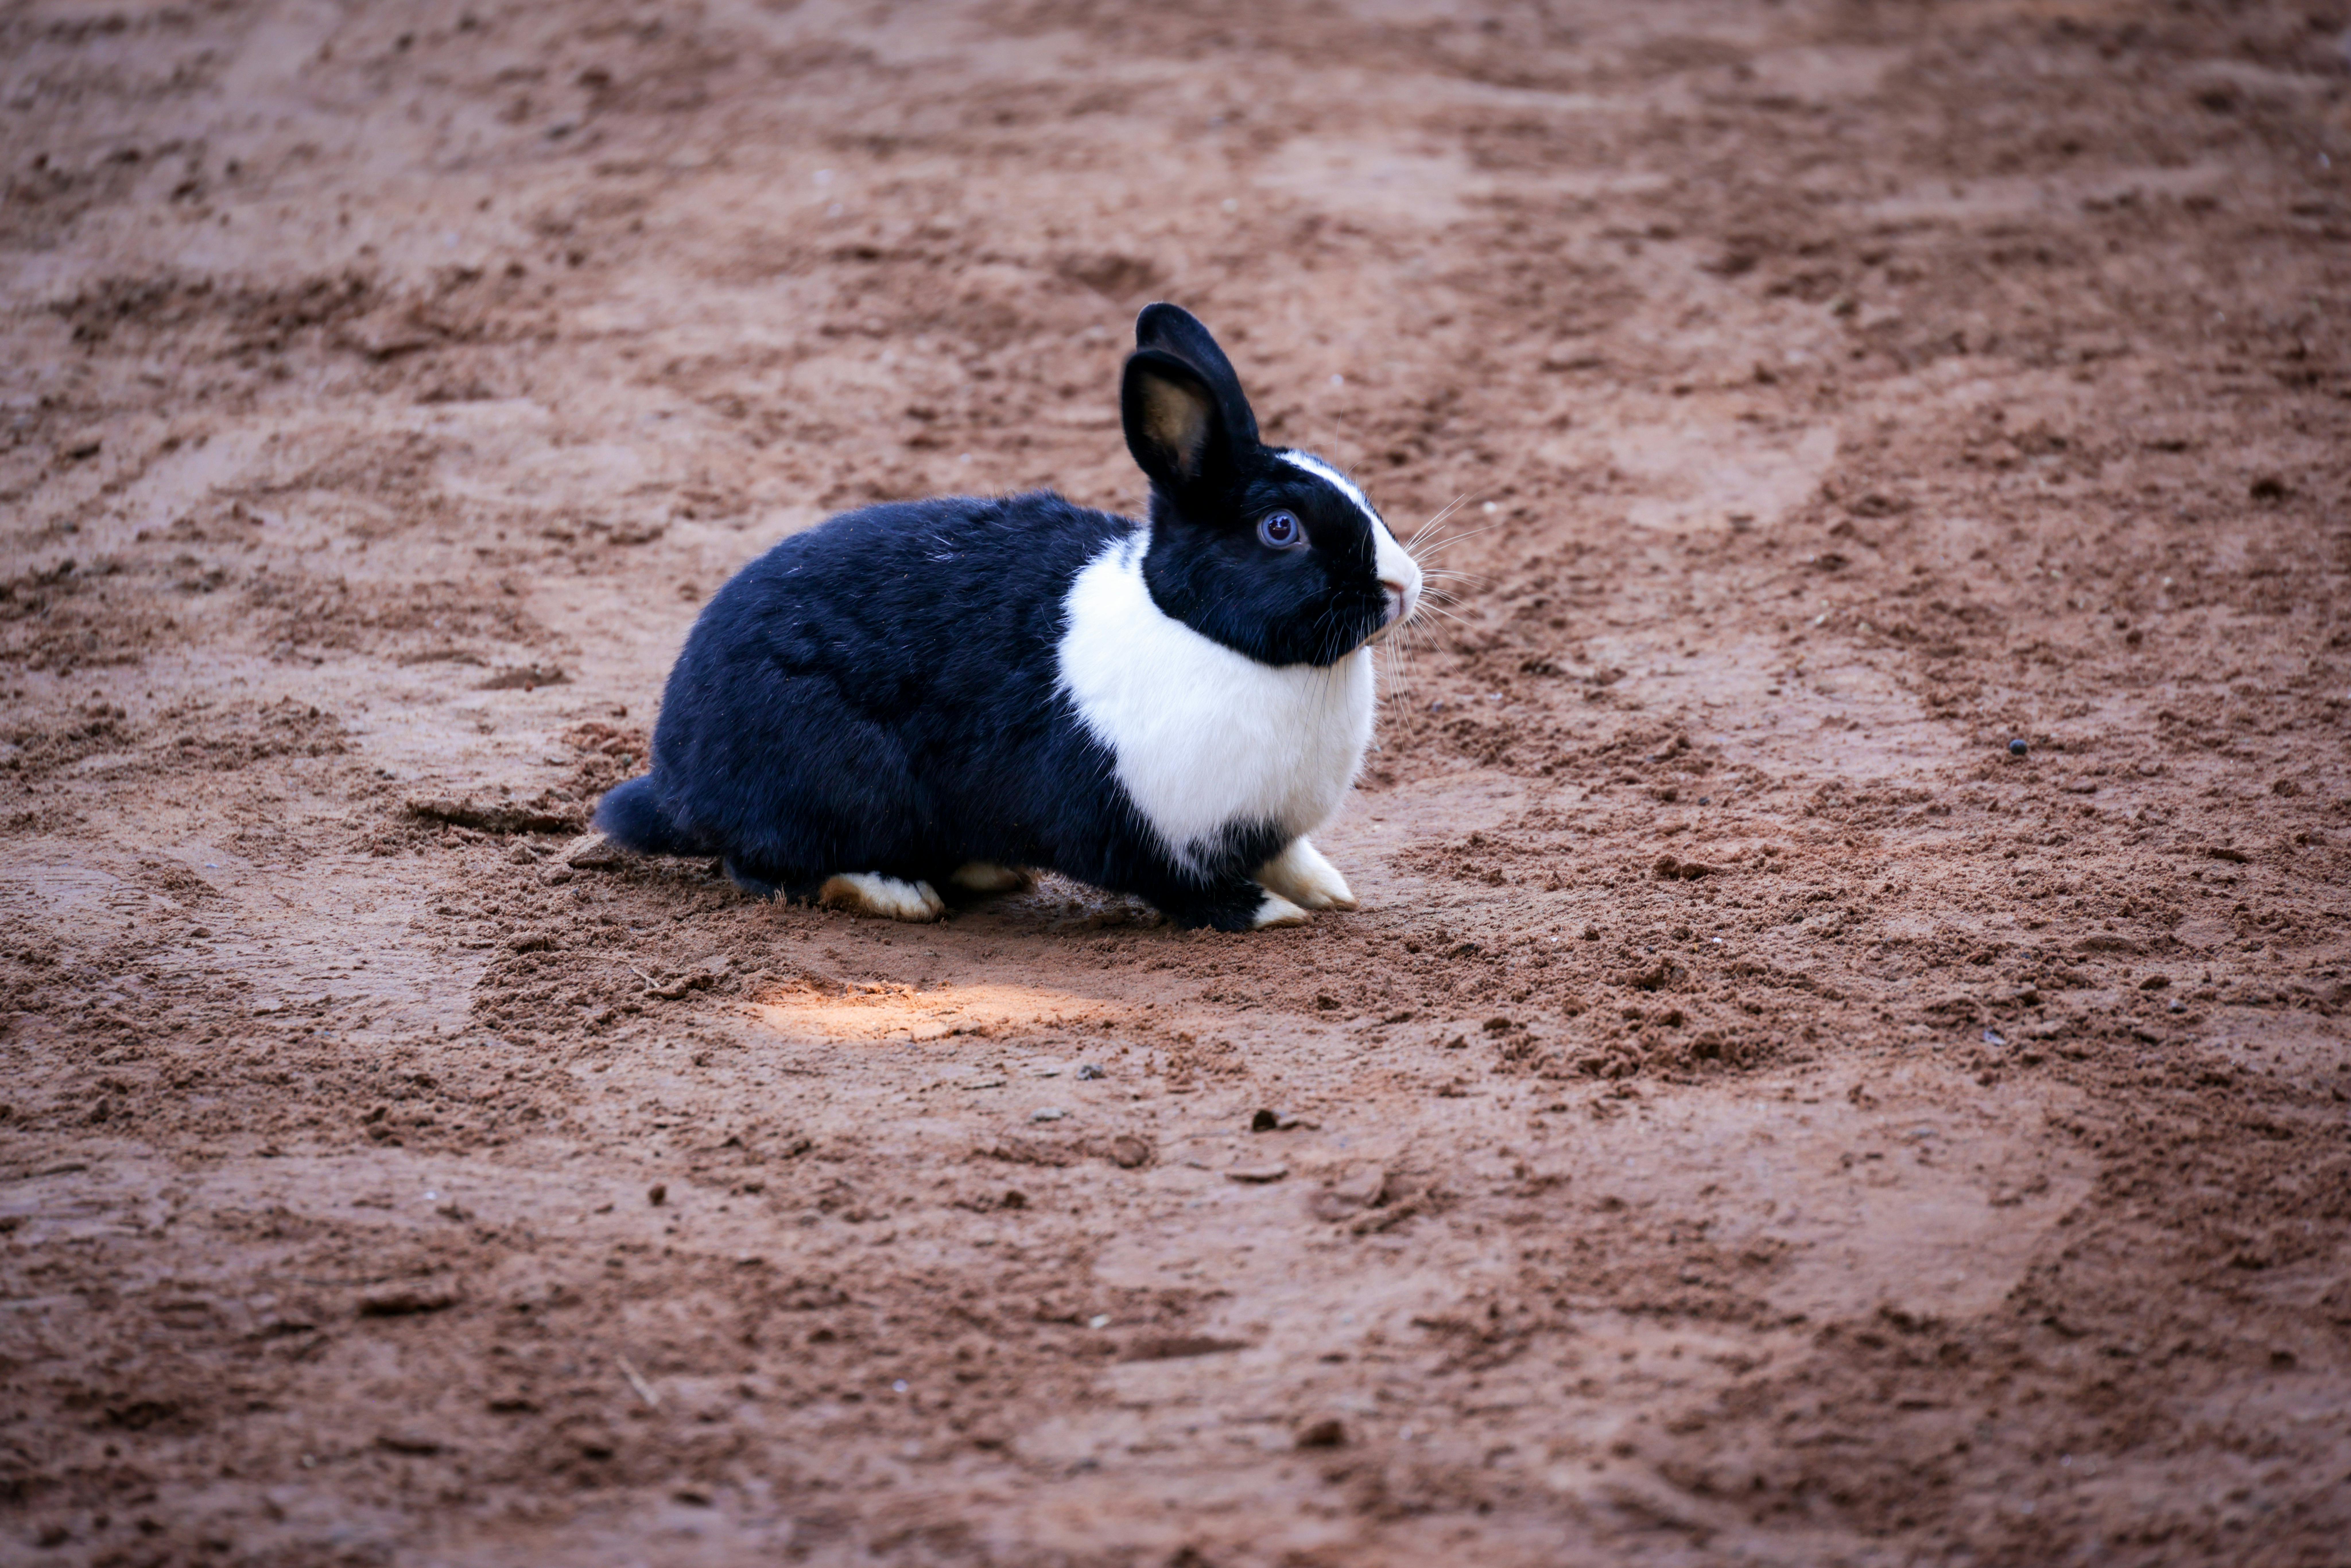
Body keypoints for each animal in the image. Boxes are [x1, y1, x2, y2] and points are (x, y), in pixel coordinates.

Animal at [593, 302, 1423, 932]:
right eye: (1281, 530)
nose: (1405, 584)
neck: (1207, 636)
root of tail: (674, 783)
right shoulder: (1143, 828)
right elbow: (1190, 890)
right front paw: (1272, 914)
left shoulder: (1263, 825)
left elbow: (1290, 855)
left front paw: (1330, 891)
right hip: (831, 782)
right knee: (769, 868)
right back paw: (898, 893)